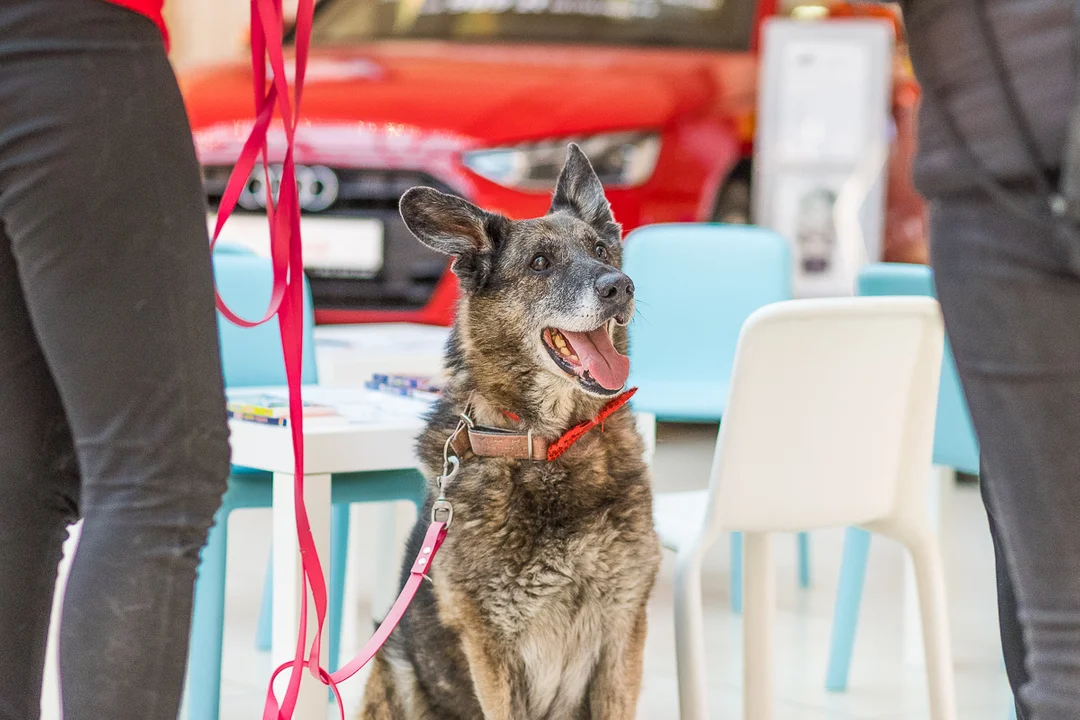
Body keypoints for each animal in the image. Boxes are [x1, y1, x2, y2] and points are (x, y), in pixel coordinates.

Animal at [360, 143, 656, 716]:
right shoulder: (492, 652)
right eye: (540, 263)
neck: (552, 445)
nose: (621, 287)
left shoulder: (623, 634)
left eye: (602, 251)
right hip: (396, 666)